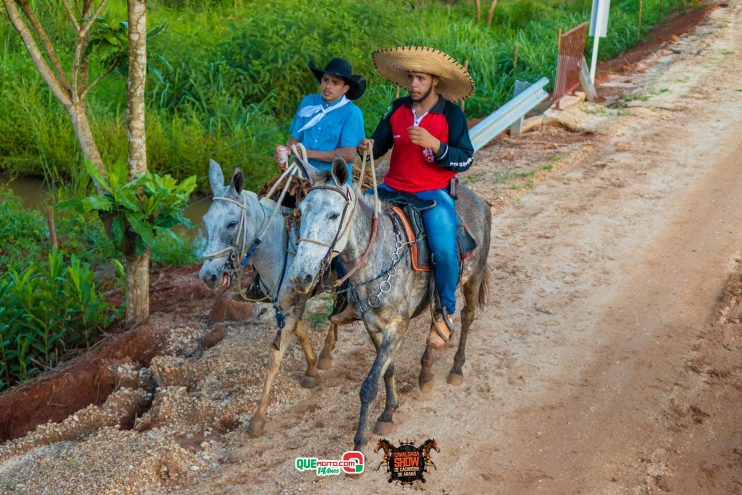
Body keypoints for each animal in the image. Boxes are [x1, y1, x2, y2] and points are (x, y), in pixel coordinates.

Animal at [199, 161, 342, 436]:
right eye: (205, 221)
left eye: (232, 223)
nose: (208, 275)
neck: (277, 248)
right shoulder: (285, 304)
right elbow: (300, 332)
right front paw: (311, 369)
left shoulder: (294, 302)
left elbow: (275, 358)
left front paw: (258, 416)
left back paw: (328, 352)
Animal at [288, 157, 492, 452]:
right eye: (301, 212)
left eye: (333, 215)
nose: (300, 274)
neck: (379, 254)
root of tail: (479, 200)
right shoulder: (373, 326)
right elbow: (387, 370)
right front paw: (388, 412)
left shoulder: (397, 326)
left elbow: (370, 384)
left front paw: (360, 439)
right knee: (436, 321)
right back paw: (426, 371)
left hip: (473, 278)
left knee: (466, 317)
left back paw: (456, 368)